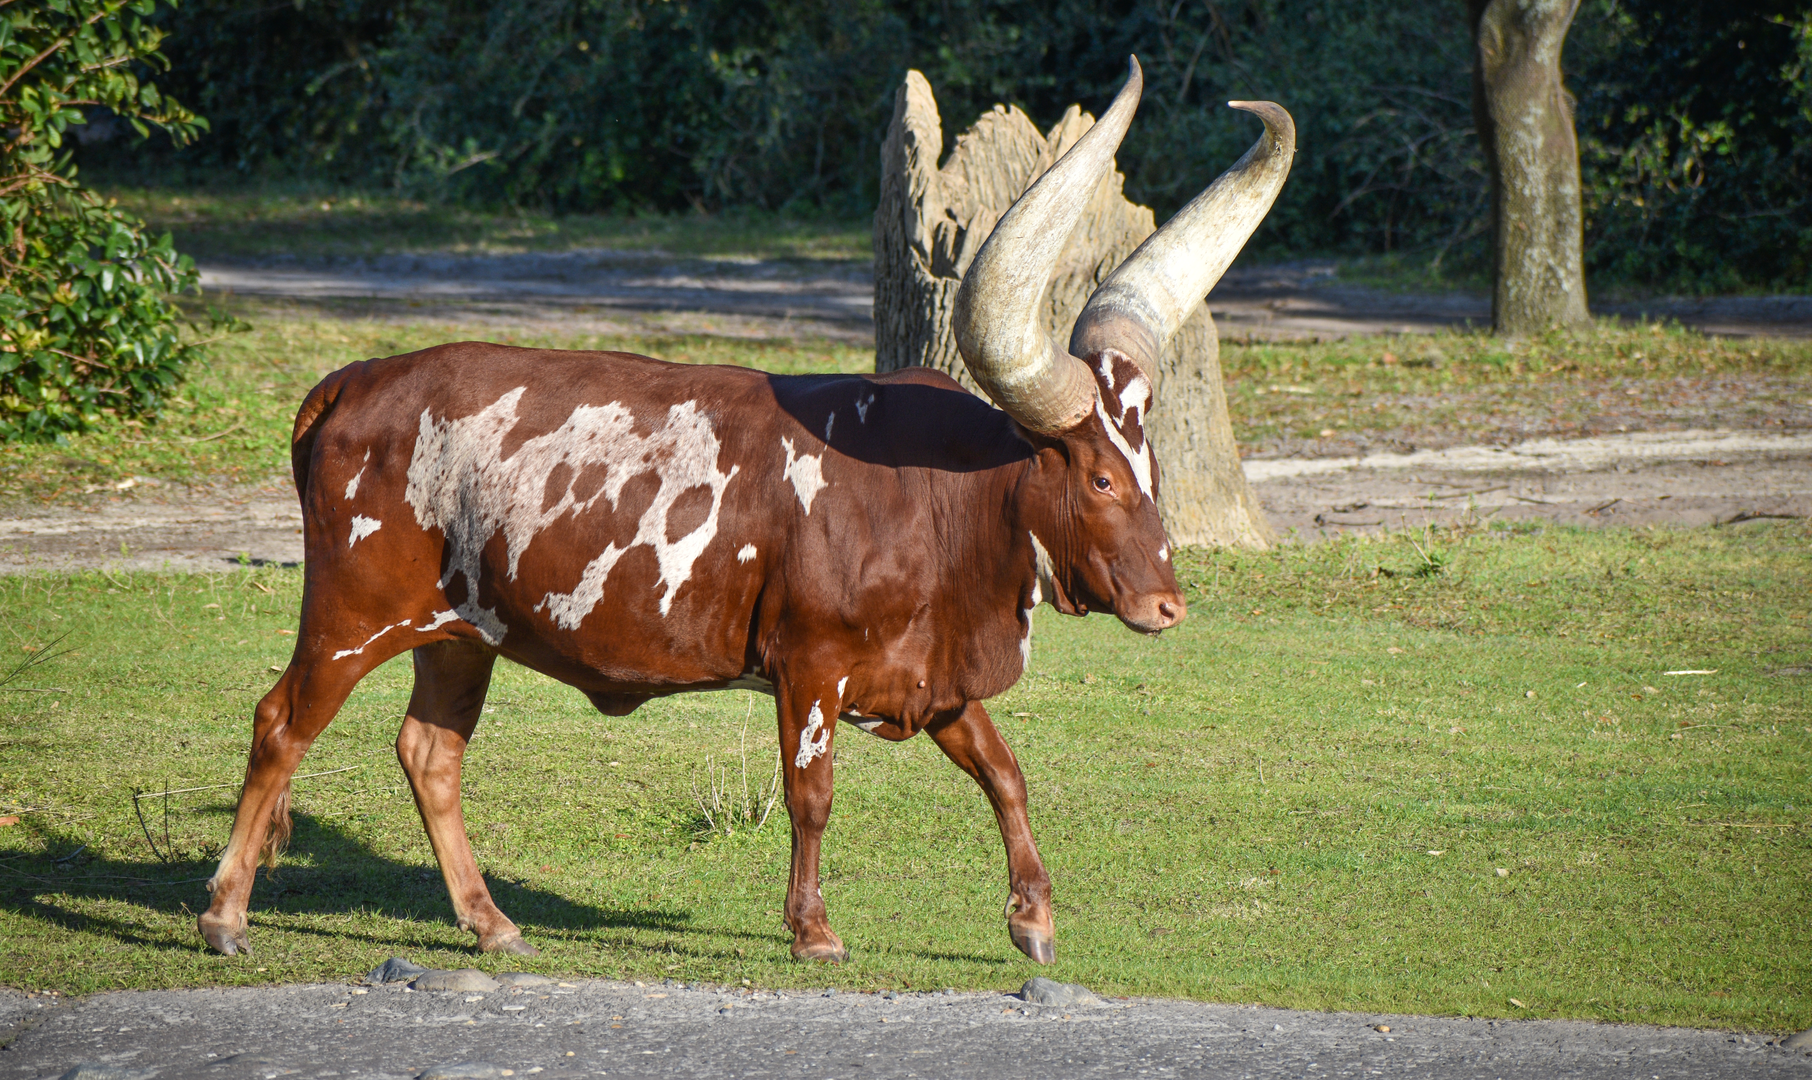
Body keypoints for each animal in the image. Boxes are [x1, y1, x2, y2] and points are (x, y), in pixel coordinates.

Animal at [197, 57, 1294, 965]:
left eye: (1153, 468)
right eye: (1100, 480)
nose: (1167, 606)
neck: (942, 496)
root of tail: (356, 381)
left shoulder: (931, 675)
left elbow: (1005, 772)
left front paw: (1033, 916)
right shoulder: (811, 666)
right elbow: (812, 794)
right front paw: (813, 931)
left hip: (461, 633)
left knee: (430, 754)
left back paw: (490, 921)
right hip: (351, 614)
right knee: (280, 724)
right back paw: (224, 915)